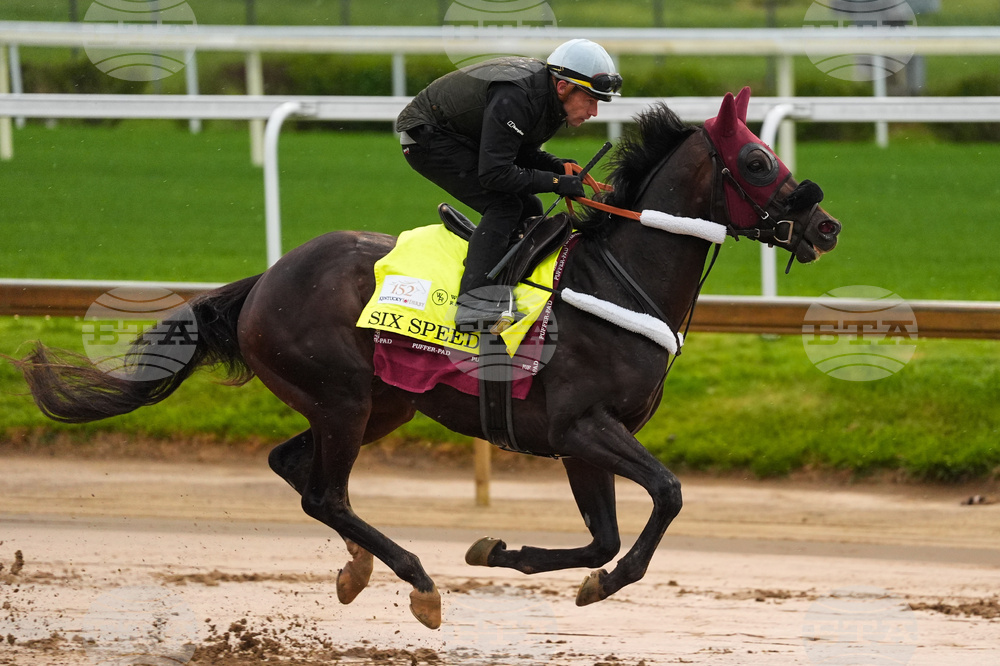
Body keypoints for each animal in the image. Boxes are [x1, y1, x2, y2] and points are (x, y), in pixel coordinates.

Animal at [14, 88, 841, 629]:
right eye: (757, 161)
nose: (825, 225)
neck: (615, 280)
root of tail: (264, 280)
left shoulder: (582, 441)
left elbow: (603, 536)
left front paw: (508, 553)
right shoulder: (580, 427)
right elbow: (666, 496)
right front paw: (598, 583)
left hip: (381, 403)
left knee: (295, 468)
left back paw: (358, 566)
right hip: (346, 398)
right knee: (324, 492)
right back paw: (415, 580)